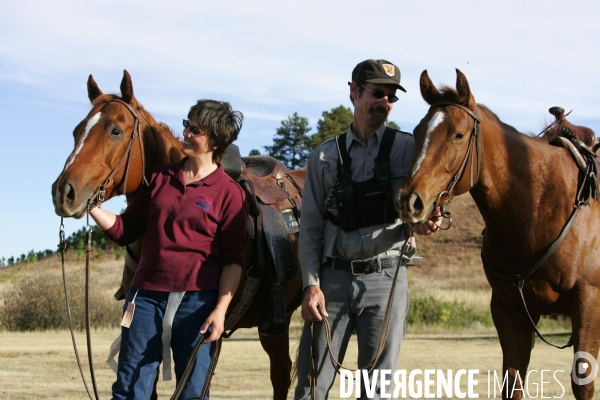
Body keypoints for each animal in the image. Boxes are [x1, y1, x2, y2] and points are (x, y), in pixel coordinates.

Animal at [398, 69, 600, 400]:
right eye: (416, 132)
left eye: (458, 134)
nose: (408, 200)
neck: (538, 208)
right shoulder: (509, 311)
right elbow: (512, 382)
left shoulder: (588, 306)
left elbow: (583, 383)